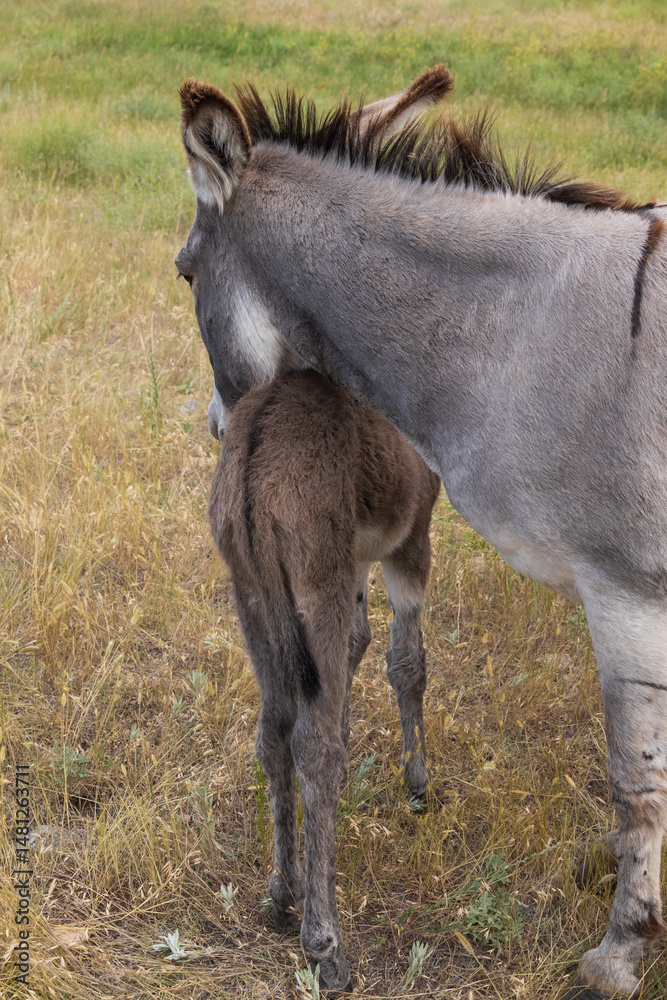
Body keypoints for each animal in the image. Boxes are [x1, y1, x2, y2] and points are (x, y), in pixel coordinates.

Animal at [175, 66, 667, 998]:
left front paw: (619, 950)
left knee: (295, 730)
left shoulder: (623, 591)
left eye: (184, 274)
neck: (520, 331)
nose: (223, 428)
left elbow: (635, 781)